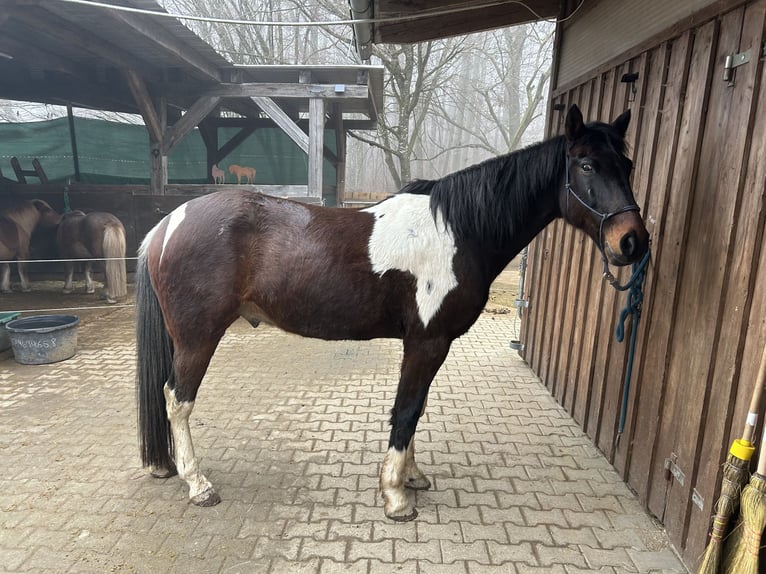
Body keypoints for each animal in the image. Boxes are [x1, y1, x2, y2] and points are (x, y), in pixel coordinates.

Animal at [135, 105, 649, 520]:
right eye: (586, 165)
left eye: (627, 164)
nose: (632, 242)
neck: (459, 229)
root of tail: (167, 224)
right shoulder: (428, 341)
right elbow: (406, 410)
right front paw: (396, 496)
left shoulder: (422, 344)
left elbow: (414, 409)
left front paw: (411, 477)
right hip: (198, 338)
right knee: (177, 400)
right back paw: (198, 485)